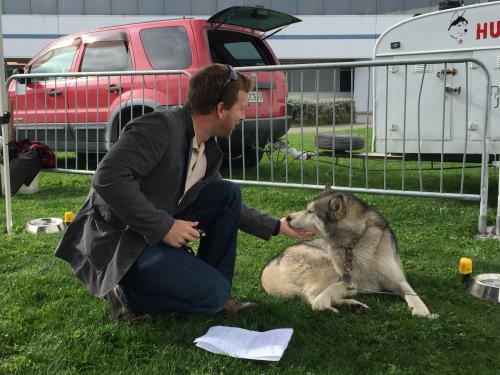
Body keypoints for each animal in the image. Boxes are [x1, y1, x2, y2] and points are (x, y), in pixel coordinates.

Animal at [264, 187, 436, 318]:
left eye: (310, 211)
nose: (288, 218)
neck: (355, 243)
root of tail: (268, 269)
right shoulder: (355, 282)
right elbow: (326, 294)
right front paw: (323, 303)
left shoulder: (396, 280)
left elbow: (412, 294)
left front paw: (423, 311)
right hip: (327, 266)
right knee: (311, 294)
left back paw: (353, 305)